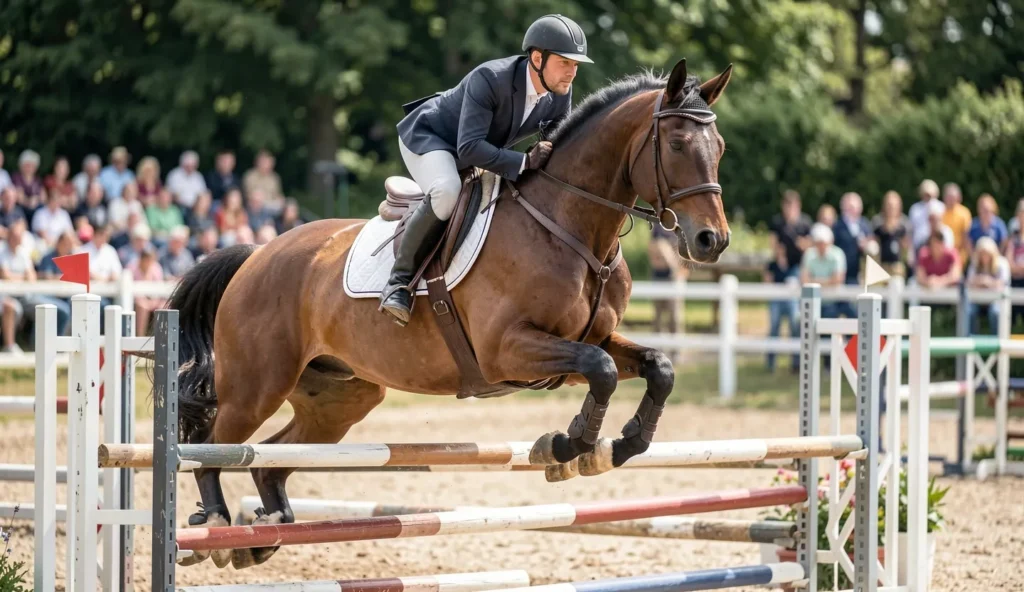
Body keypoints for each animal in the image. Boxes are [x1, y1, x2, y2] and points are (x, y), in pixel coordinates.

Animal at [166, 57, 733, 570]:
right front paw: (566, 446)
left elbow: (655, 366)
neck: (569, 225)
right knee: (212, 447)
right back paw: (216, 526)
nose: (712, 241)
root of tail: (256, 253)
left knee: (272, 460)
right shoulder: (508, 350)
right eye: (677, 145)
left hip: (340, 396)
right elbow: (604, 370)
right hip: (257, 386)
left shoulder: (583, 342)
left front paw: (619, 445)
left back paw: (267, 532)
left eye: (720, 148)